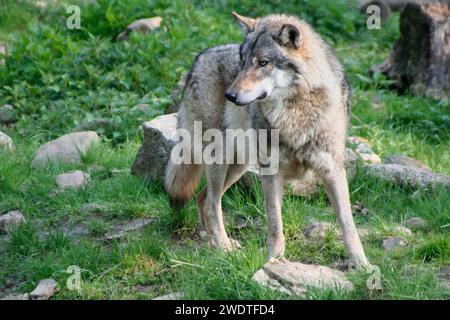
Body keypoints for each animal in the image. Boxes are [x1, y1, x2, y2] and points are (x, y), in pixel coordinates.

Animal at [165, 11, 370, 268]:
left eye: (262, 63)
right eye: (242, 61)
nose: (230, 95)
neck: (295, 112)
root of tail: (199, 58)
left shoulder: (332, 169)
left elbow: (347, 223)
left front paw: (363, 265)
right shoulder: (271, 172)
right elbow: (275, 223)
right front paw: (273, 261)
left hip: (239, 166)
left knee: (203, 199)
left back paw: (218, 247)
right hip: (221, 160)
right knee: (212, 204)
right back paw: (224, 248)